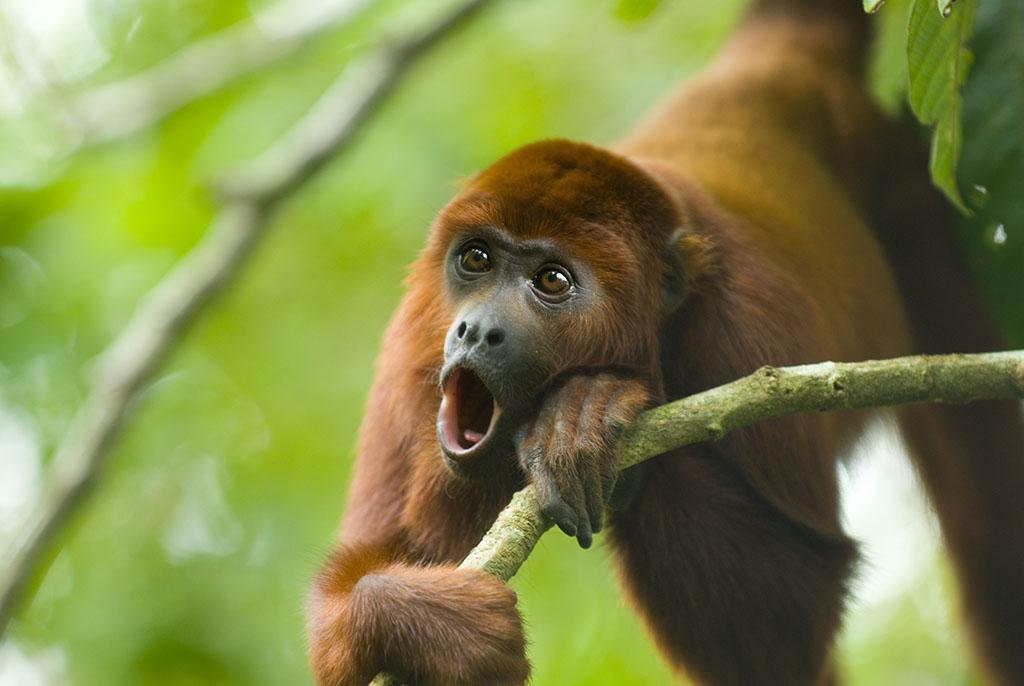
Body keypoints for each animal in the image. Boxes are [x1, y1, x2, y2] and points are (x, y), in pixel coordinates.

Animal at [307, 1, 1024, 686]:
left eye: (551, 281)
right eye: (476, 259)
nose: (476, 329)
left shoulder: (749, 327)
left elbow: (787, 621)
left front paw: (586, 413)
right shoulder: (413, 345)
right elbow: (350, 587)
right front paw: (430, 622)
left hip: (911, 199)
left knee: (990, 525)